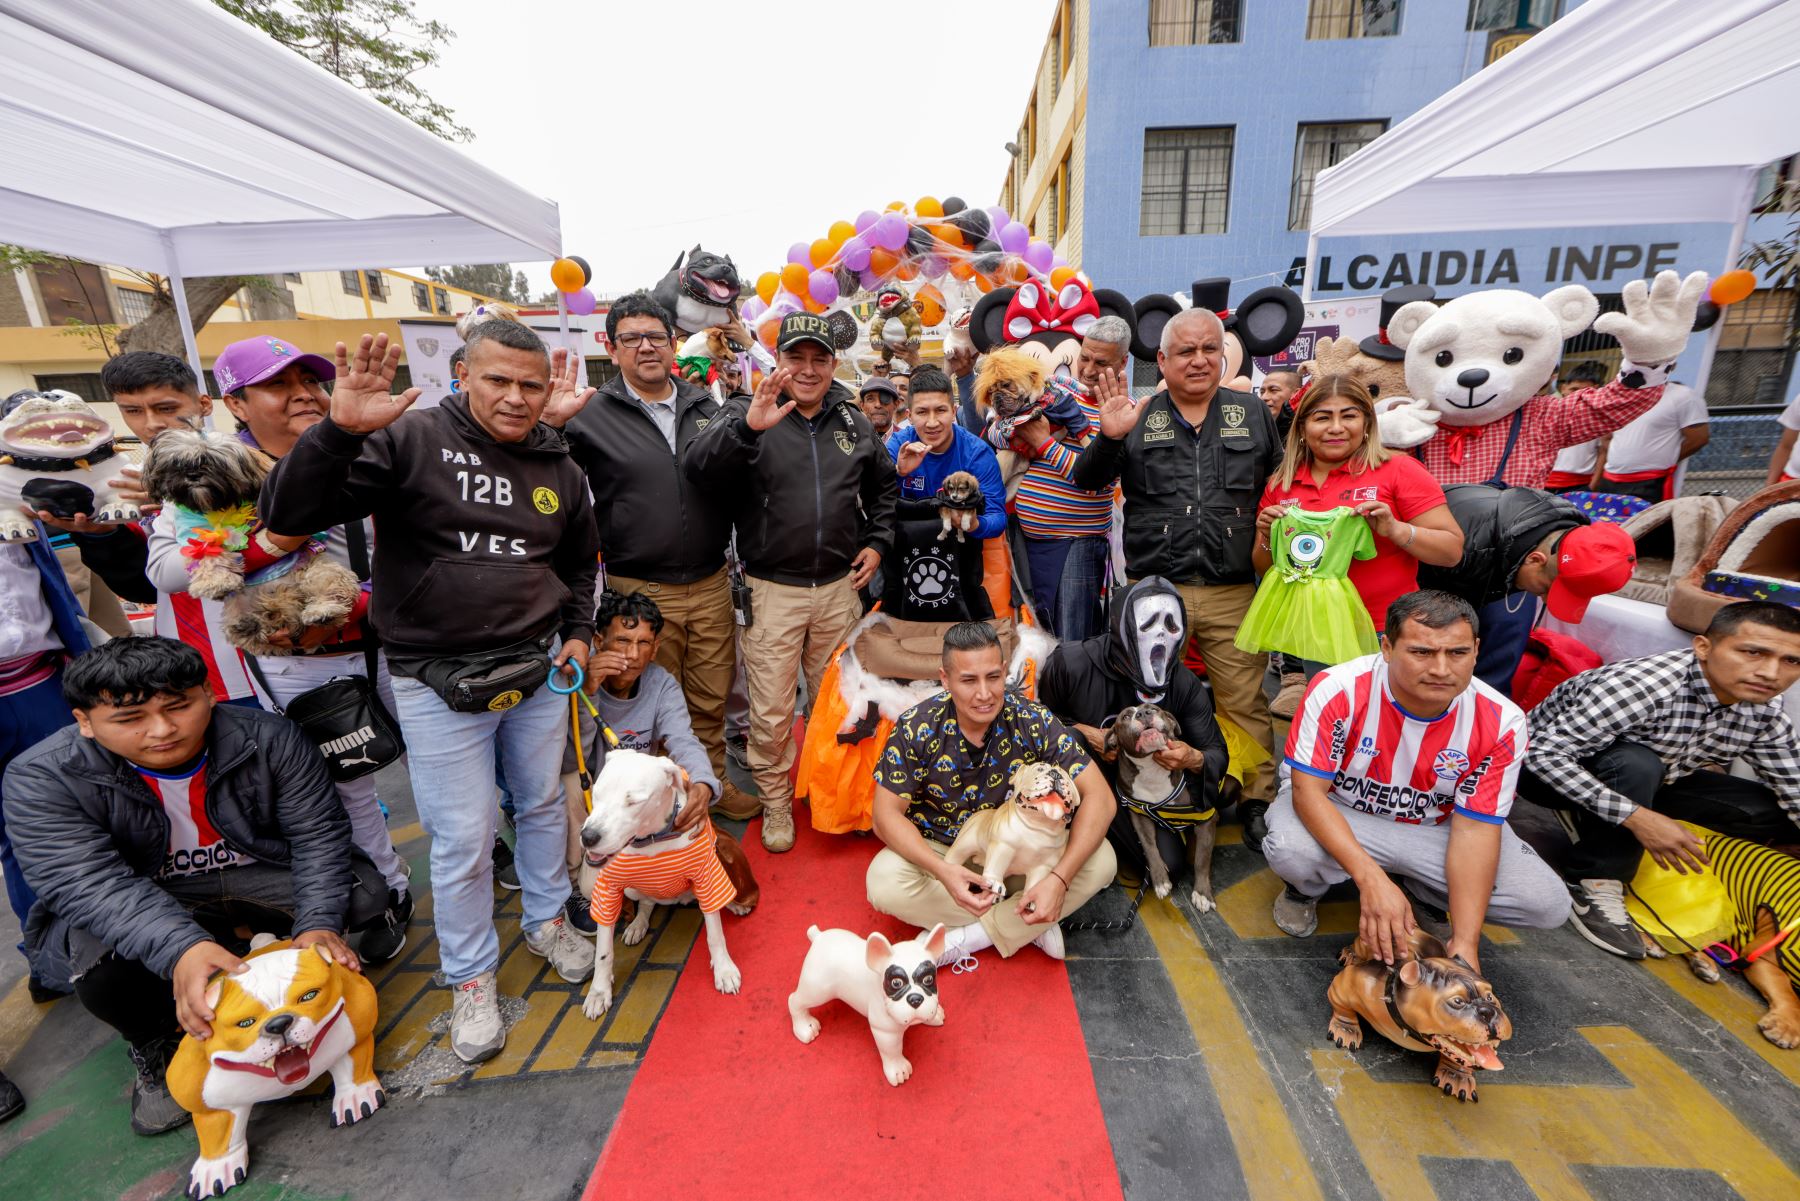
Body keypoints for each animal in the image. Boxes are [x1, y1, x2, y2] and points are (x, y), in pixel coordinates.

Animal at [139, 430, 361, 659]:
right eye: (177, 463)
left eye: (213, 461)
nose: (192, 475)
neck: (217, 505)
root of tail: (284, 602)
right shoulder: (194, 535)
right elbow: (207, 554)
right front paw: (216, 581)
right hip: (238, 604)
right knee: (254, 633)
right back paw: (250, 625)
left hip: (318, 570)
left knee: (329, 589)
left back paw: (322, 612)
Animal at [579, 752, 741, 1015]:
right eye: (597, 792)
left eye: (633, 802)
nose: (588, 837)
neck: (652, 840)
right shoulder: (607, 891)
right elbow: (603, 951)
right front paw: (598, 992)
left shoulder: (705, 875)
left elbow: (715, 933)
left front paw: (724, 969)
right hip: (633, 889)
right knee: (646, 903)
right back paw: (637, 924)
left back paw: (735, 904)